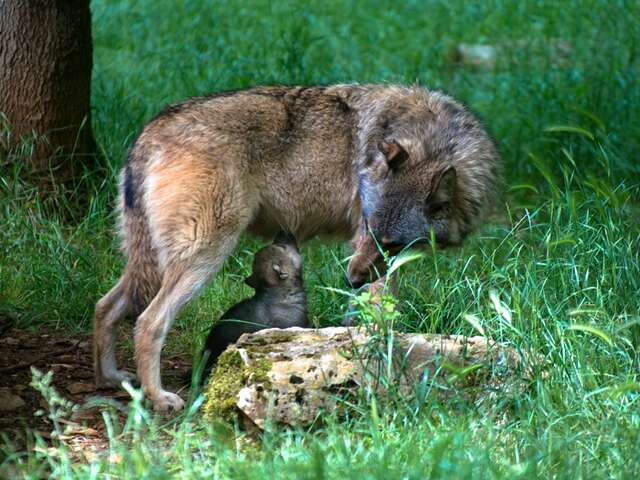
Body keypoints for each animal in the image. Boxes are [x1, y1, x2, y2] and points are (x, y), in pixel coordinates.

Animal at [92, 84, 500, 410]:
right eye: (368, 227)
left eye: (391, 242)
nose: (350, 280)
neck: (433, 139)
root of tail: (151, 131)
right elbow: (378, 314)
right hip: (203, 258)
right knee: (148, 322)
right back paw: (158, 398)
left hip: (149, 265)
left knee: (104, 306)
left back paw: (110, 377)